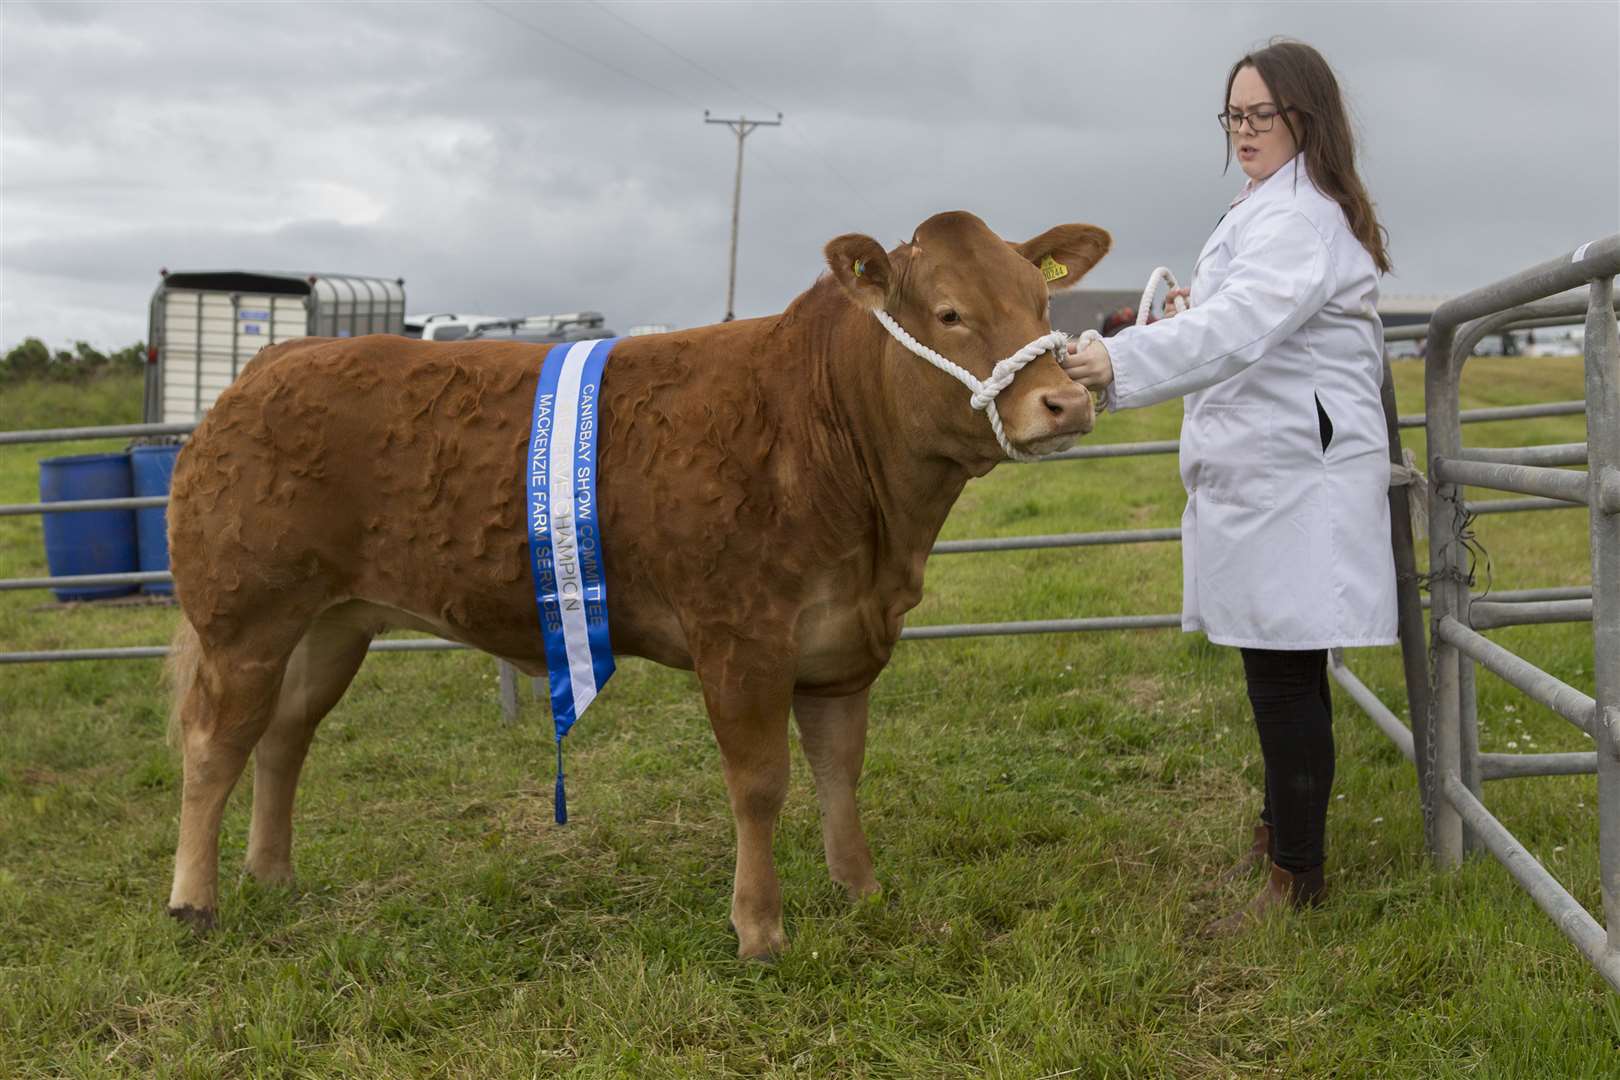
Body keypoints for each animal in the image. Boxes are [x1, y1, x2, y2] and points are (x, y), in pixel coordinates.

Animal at [164, 208, 1108, 952]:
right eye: (949, 312)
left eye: (1040, 304)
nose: (1065, 402)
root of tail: (274, 362)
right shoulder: (741, 638)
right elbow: (761, 784)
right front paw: (760, 929)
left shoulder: (840, 647)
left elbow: (840, 772)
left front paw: (861, 891)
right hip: (244, 618)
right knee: (215, 745)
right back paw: (194, 904)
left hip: (335, 620)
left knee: (283, 736)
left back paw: (273, 875)